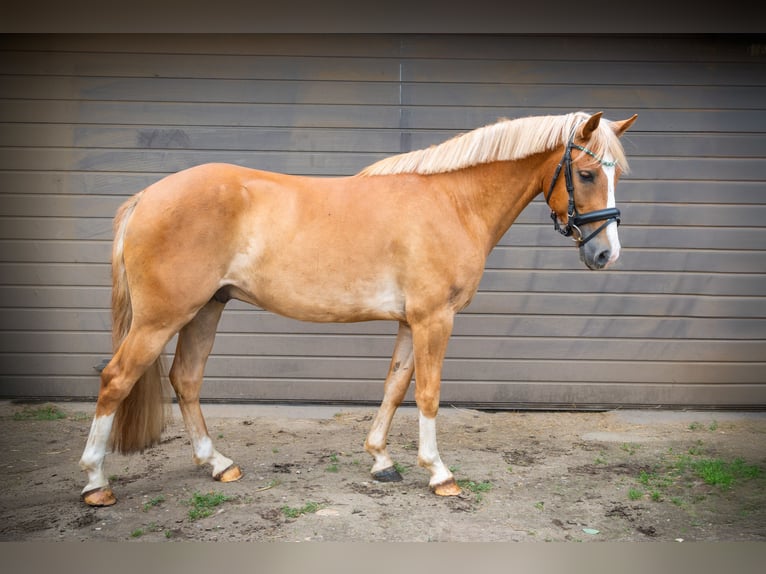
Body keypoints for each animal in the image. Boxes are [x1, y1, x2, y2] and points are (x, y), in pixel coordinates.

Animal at [81, 110, 640, 506]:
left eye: (617, 175)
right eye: (587, 173)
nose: (606, 254)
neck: (452, 201)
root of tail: (146, 196)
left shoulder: (410, 322)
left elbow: (395, 386)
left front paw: (381, 460)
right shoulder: (435, 318)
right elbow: (429, 393)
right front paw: (439, 473)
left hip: (206, 309)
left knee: (186, 380)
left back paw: (217, 463)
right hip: (162, 318)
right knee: (116, 379)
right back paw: (95, 483)